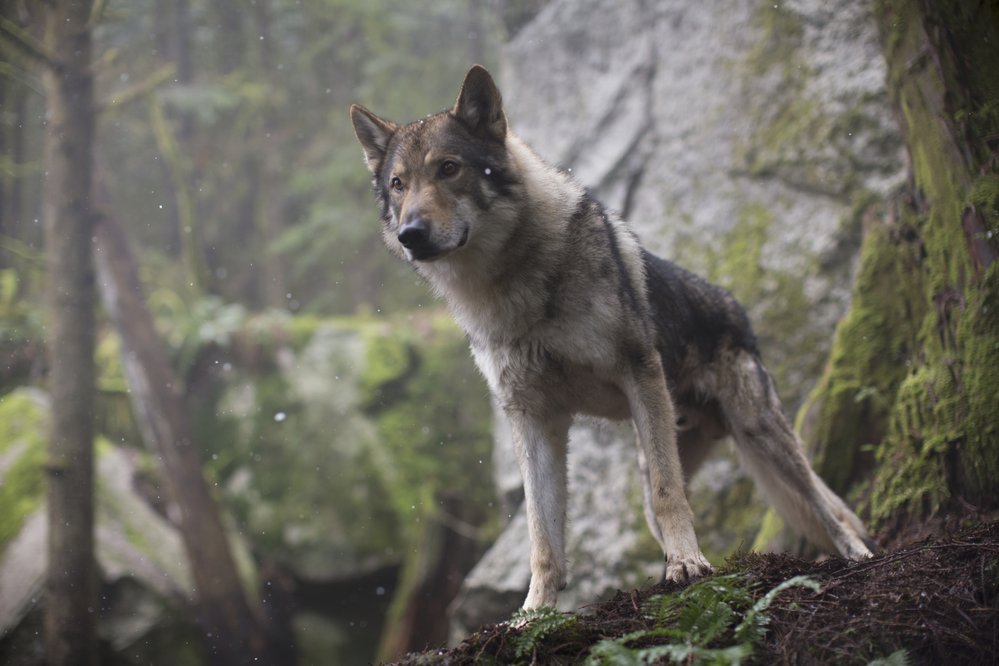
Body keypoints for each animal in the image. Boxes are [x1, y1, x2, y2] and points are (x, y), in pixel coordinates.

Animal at [354, 66, 876, 608]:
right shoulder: (532, 417)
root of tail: (735, 305)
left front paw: (689, 567)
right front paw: (532, 613)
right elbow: (542, 538)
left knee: (819, 504)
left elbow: (671, 496)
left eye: (449, 168)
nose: (411, 233)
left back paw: (853, 553)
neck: (512, 288)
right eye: (398, 184)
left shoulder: (637, 371)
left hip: (758, 432)